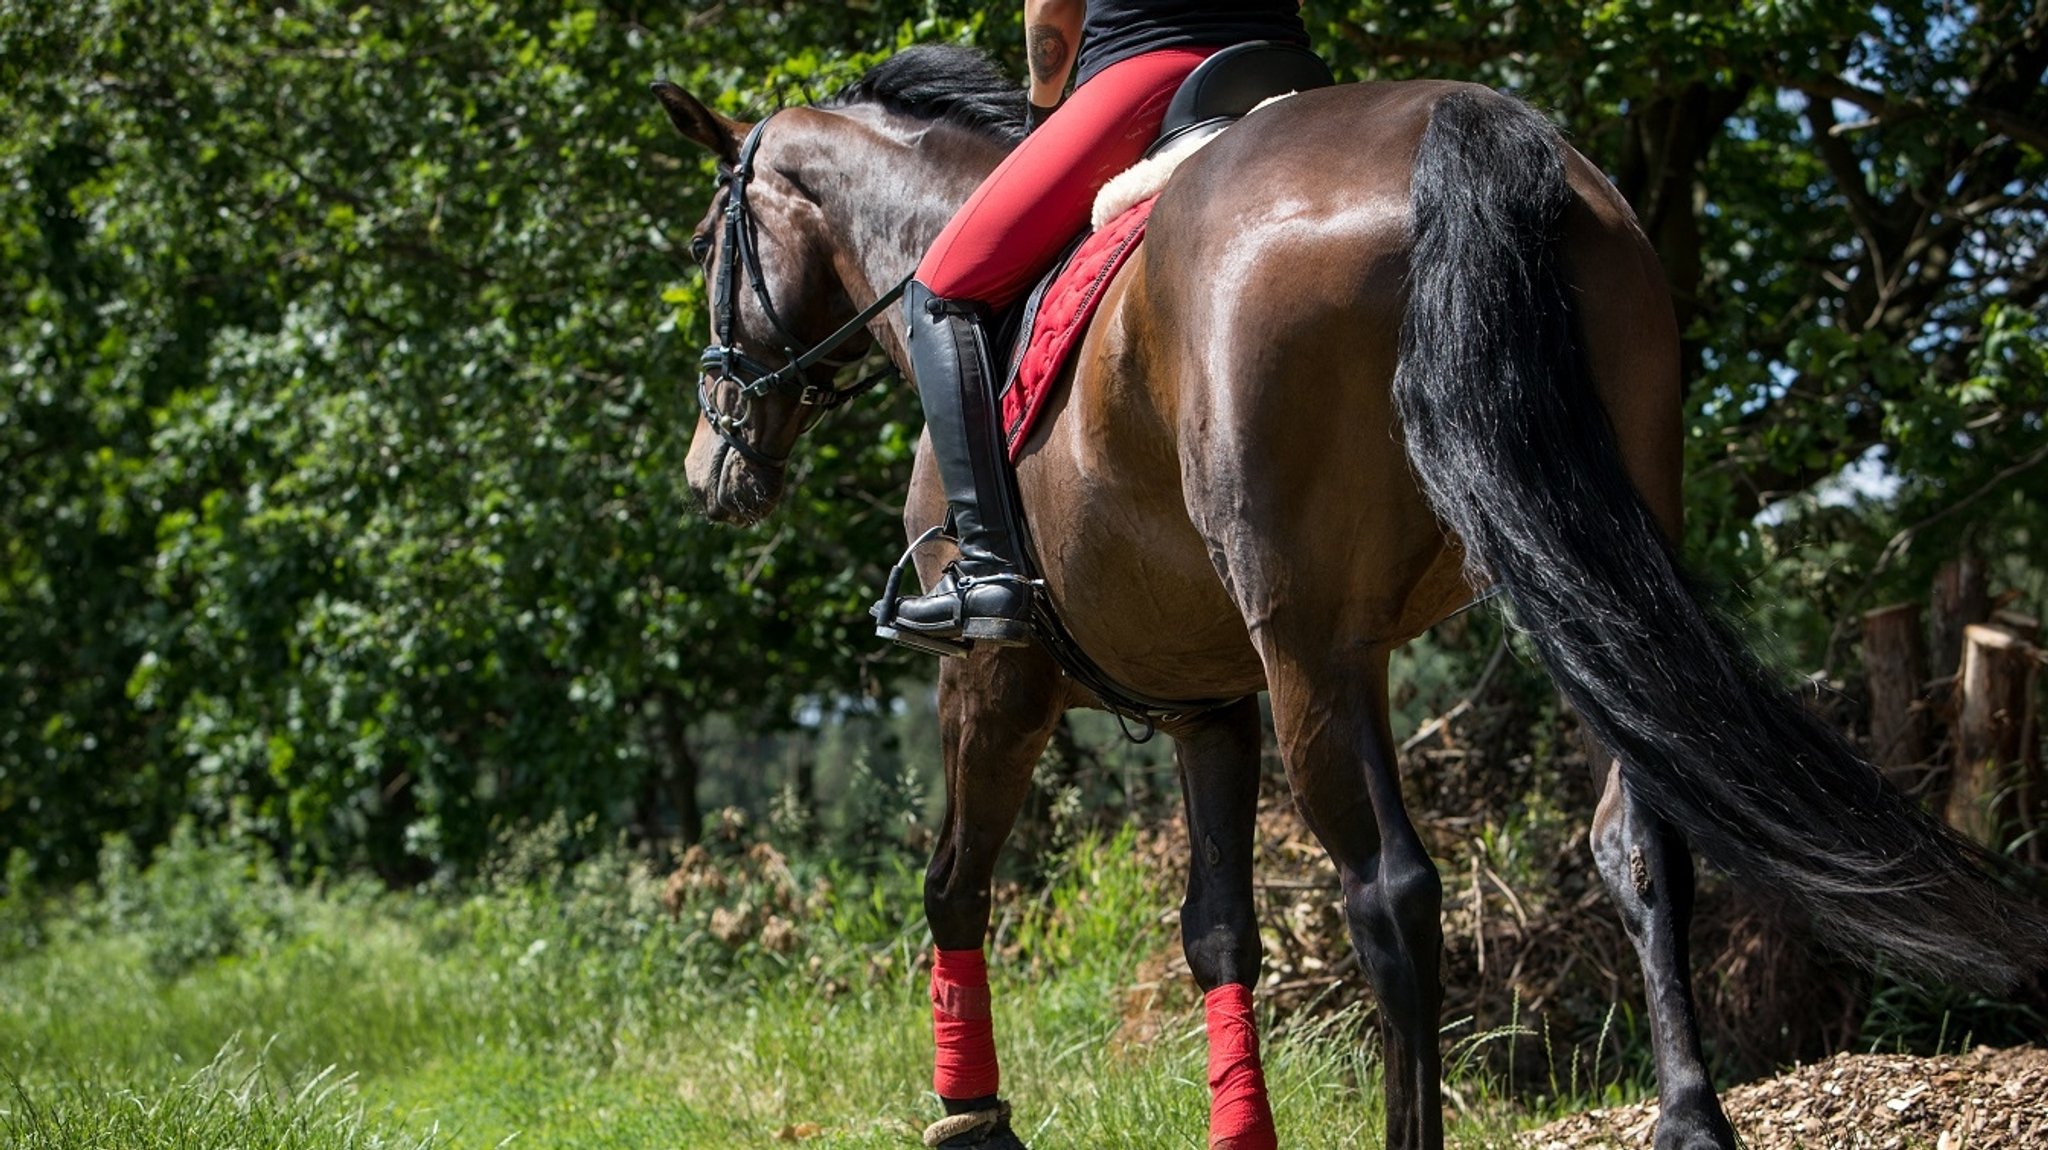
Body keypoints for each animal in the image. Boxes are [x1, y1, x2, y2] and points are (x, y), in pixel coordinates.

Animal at [651, 44, 2048, 1145]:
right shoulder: (1208, 701)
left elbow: (953, 884)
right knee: (1642, 842)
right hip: (1577, 582)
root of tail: (1458, 130)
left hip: (1317, 650)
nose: (709, 466)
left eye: (708, 249)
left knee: (1390, 890)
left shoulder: (995, 675)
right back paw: (1687, 1121)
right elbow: (1217, 930)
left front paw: (970, 1118)